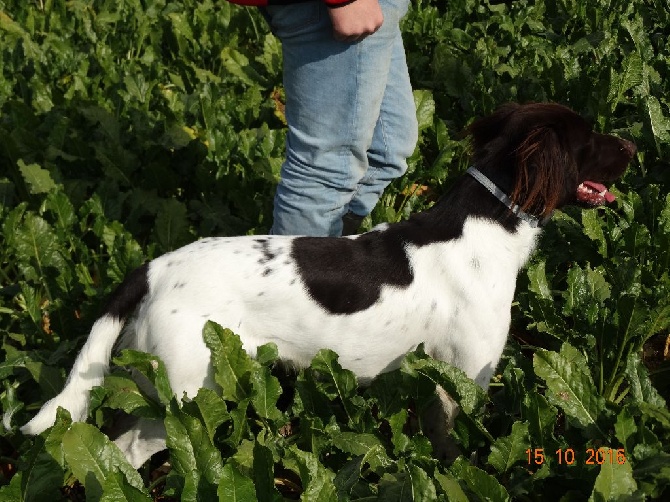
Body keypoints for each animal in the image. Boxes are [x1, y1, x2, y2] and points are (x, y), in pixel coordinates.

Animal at [13, 102, 636, 466]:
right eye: (591, 138)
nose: (634, 146)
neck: (485, 219)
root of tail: (152, 269)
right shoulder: (463, 378)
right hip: (188, 396)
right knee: (127, 451)